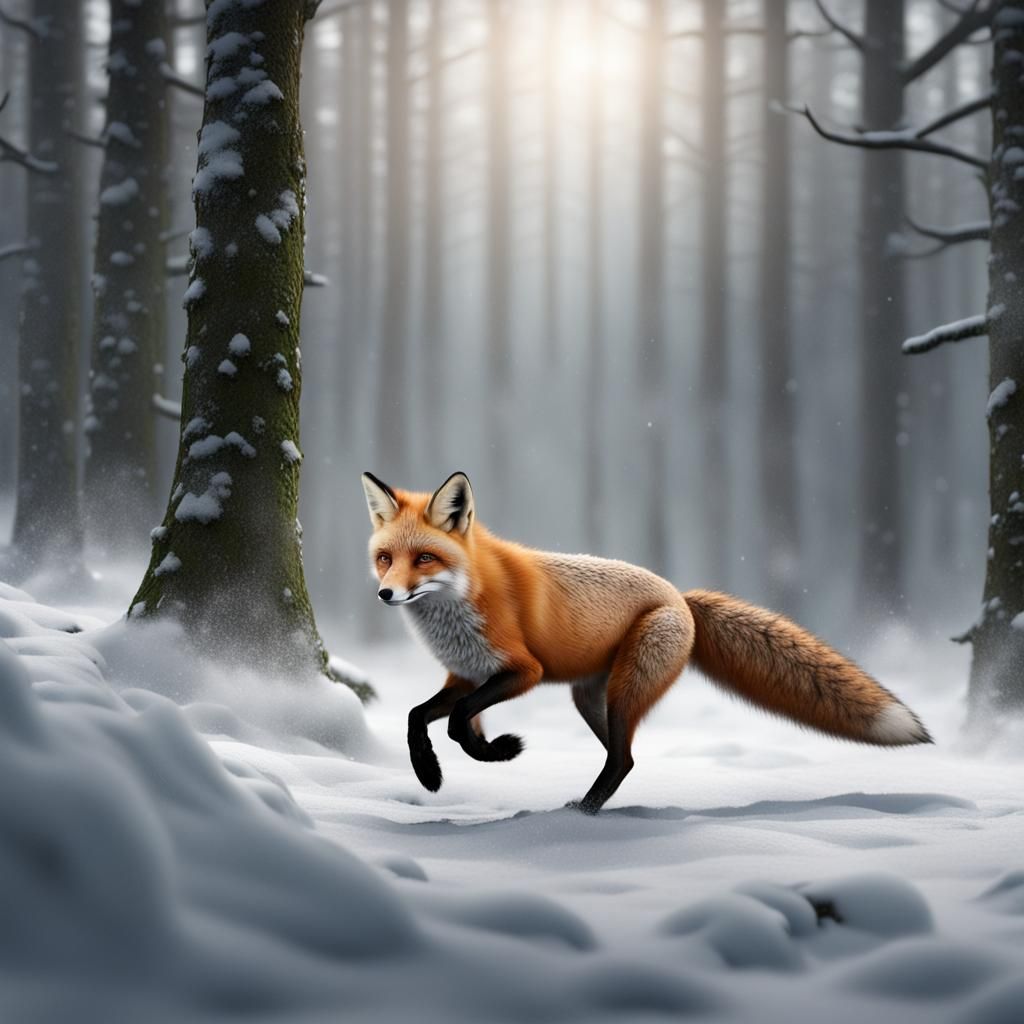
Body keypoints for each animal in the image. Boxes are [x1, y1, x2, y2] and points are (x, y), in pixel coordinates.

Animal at [362, 470, 932, 814]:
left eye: (425, 559)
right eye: (386, 558)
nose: (386, 594)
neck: (460, 604)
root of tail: (680, 596)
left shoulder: (523, 671)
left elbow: (458, 722)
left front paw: (495, 752)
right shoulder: (467, 674)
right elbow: (417, 717)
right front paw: (430, 773)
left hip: (625, 688)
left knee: (622, 760)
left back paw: (583, 814)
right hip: (592, 697)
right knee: (625, 757)